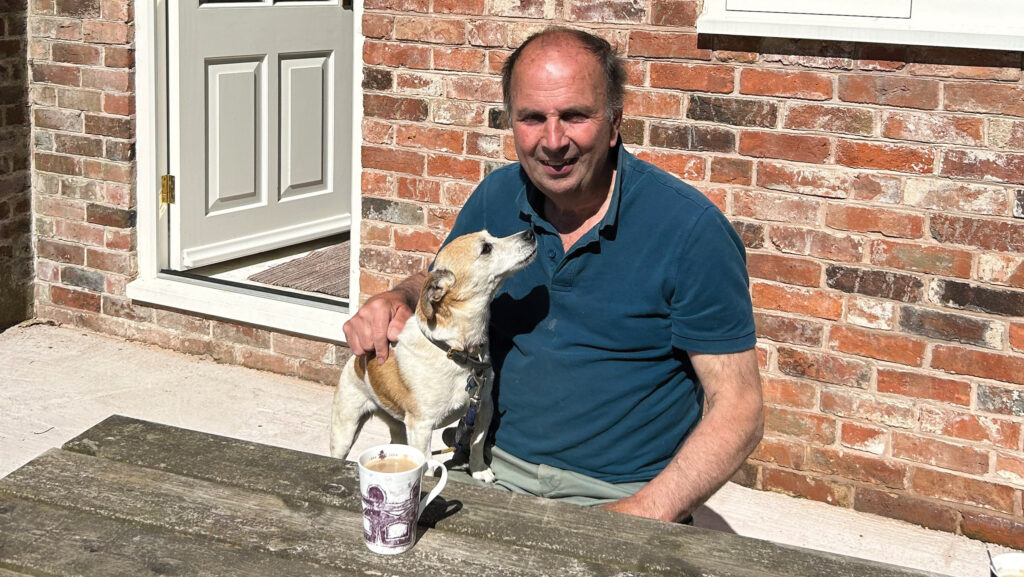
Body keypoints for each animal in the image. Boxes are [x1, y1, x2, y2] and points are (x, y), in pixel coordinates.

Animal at [329, 228, 540, 481]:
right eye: (486, 248)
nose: (530, 232)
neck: (455, 350)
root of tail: (356, 361)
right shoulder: (421, 426)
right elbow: (426, 463)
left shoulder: (483, 408)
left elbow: (477, 445)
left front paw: (479, 470)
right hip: (346, 428)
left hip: (399, 429)